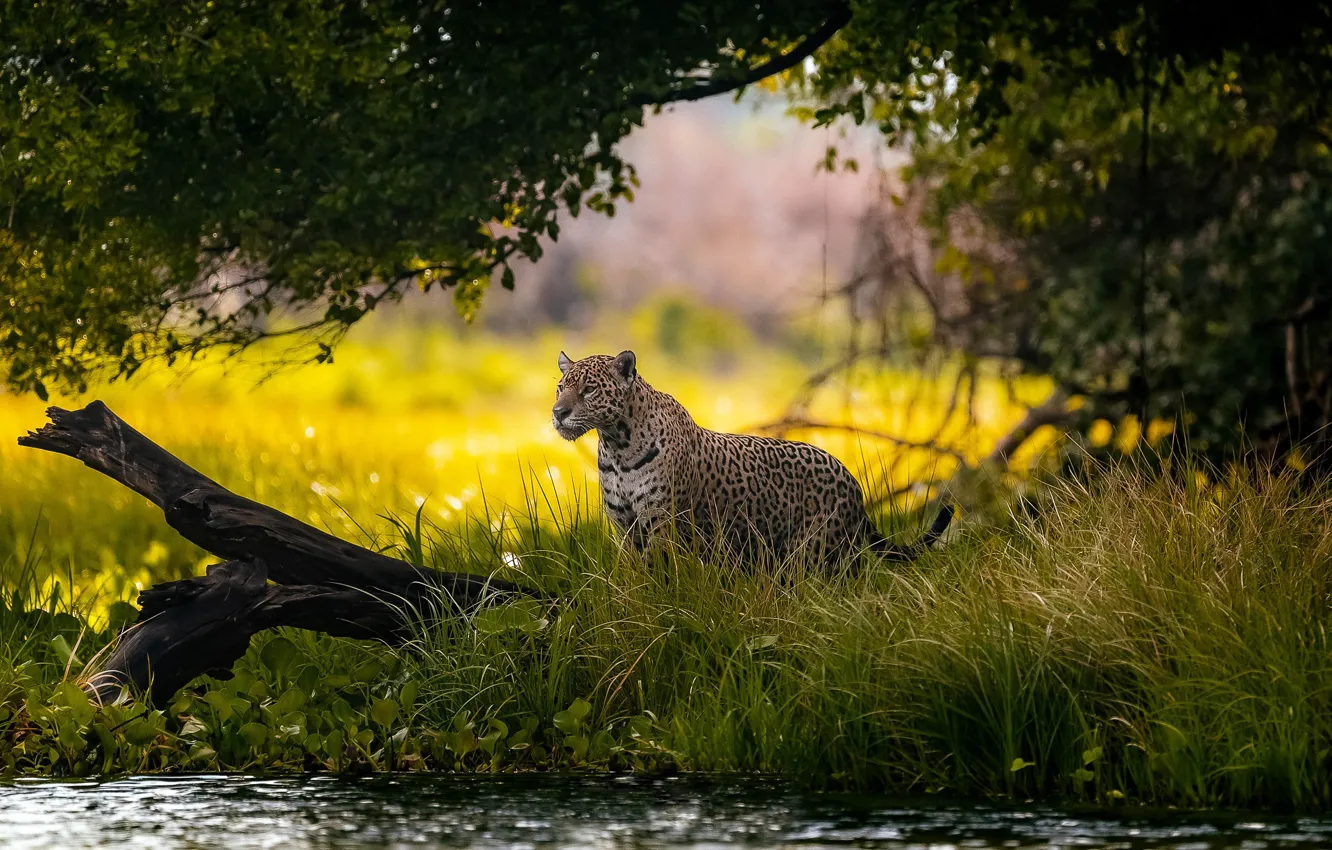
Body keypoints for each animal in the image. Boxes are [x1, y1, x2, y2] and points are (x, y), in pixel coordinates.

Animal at [551, 349, 954, 568]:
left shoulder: (662, 521)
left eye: (588, 390)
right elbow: (631, 576)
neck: (617, 445)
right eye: (561, 388)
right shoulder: (624, 526)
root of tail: (851, 481)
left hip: (820, 555)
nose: (557, 412)